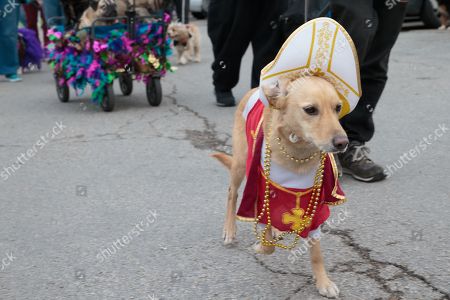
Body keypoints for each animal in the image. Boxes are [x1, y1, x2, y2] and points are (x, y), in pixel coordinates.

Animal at [214, 74, 348, 298]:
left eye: (337, 107)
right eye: (310, 109)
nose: (342, 143)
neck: (297, 153)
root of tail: (254, 90)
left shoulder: (314, 207)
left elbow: (316, 252)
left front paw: (323, 282)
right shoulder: (261, 192)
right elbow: (268, 245)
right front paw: (261, 247)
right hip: (240, 164)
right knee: (232, 194)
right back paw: (230, 230)